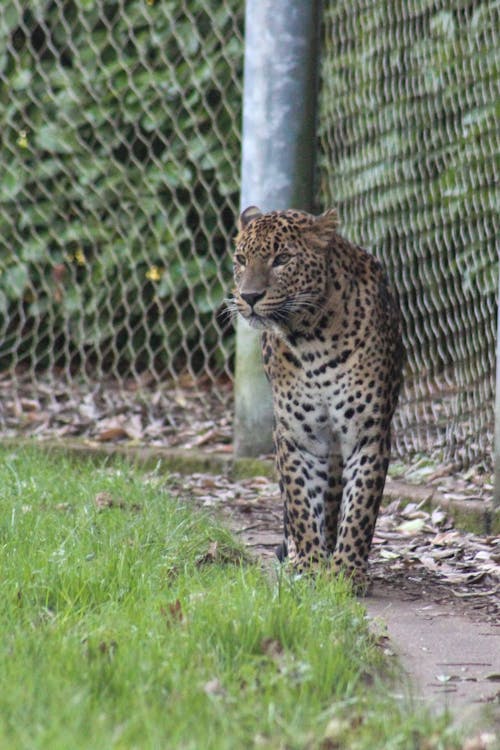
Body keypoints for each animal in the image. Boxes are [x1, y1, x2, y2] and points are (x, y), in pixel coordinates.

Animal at [232, 206, 404, 588]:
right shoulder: (298, 436)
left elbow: (360, 506)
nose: (249, 297)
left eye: (282, 259)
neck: (312, 337)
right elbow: (300, 501)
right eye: (240, 259)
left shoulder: (368, 433)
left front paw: (347, 570)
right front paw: (311, 564)